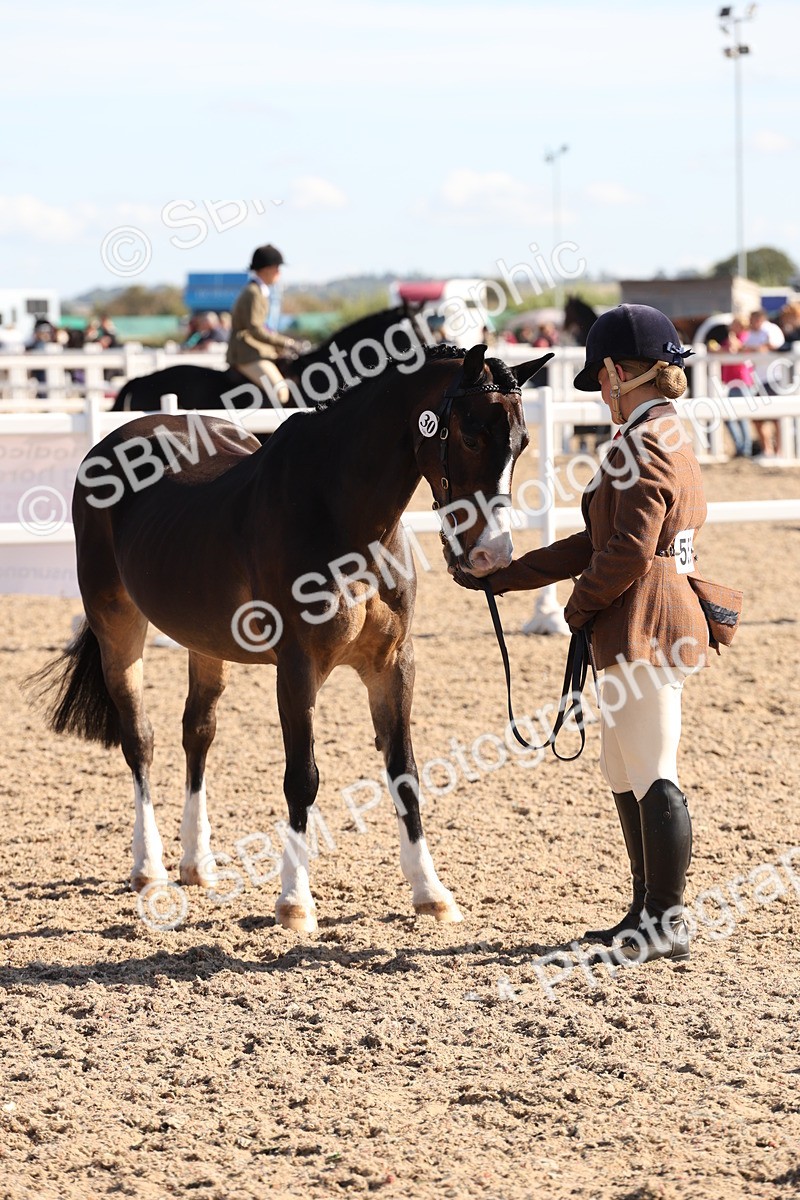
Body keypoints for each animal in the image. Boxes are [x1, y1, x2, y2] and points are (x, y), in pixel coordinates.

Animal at [30, 343, 552, 933]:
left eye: (522, 443)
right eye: (469, 436)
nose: (494, 556)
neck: (344, 516)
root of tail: (113, 440)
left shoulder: (393, 663)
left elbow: (405, 773)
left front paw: (430, 892)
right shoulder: (298, 667)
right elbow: (303, 777)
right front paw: (295, 902)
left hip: (204, 643)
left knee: (198, 733)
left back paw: (196, 864)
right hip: (117, 622)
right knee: (139, 739)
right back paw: (150, 869)